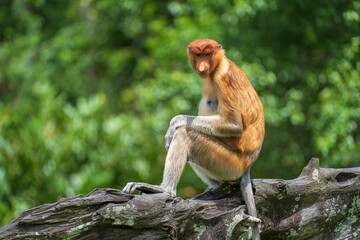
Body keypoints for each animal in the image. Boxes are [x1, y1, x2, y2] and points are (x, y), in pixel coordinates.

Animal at [124, 38, 264, 239]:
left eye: (207, 54)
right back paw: (217, 187)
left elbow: (233, 125)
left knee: (185, 134)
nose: (202, 66)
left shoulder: (223, 78)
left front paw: (175, 122)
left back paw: (164, 190)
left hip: (229, 163)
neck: (219, 64)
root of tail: (248, 166)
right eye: (198, 55)